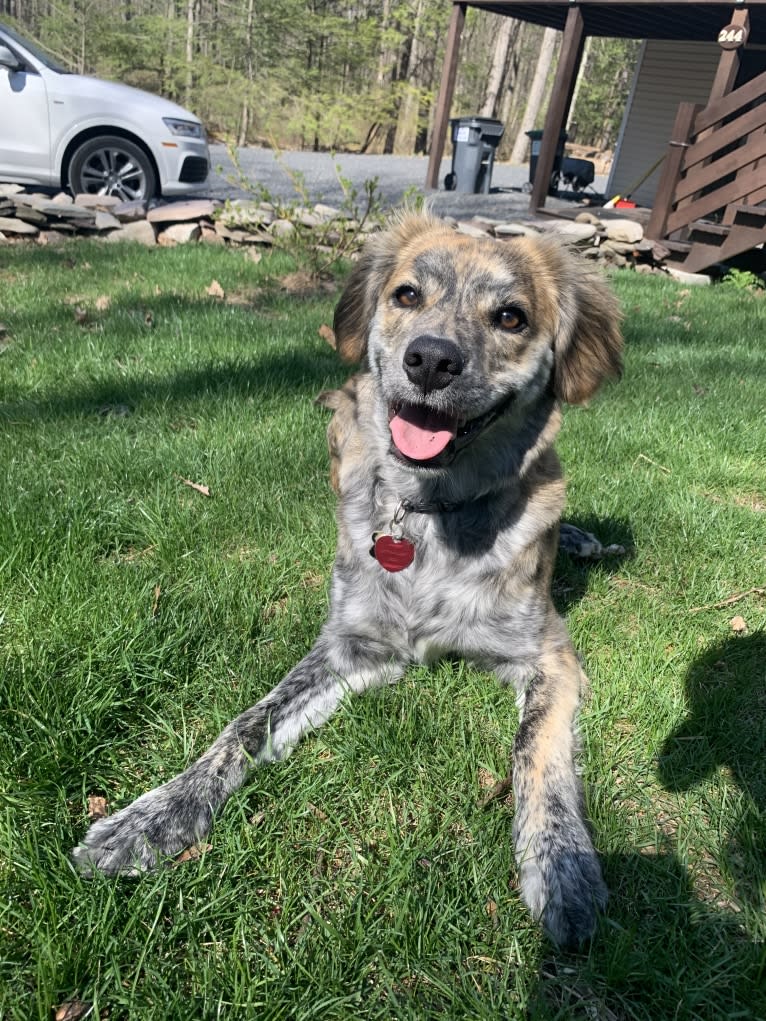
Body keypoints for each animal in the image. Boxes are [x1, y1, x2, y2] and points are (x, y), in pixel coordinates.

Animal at [72, 213, 625, 947]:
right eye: (407, 294)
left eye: (511, 316)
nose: (430, 359)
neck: (427, 514)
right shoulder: (350, 646)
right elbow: (245, 724)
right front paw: (152, 817)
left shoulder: (549, 655)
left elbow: (536, 750)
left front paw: (563, 863)